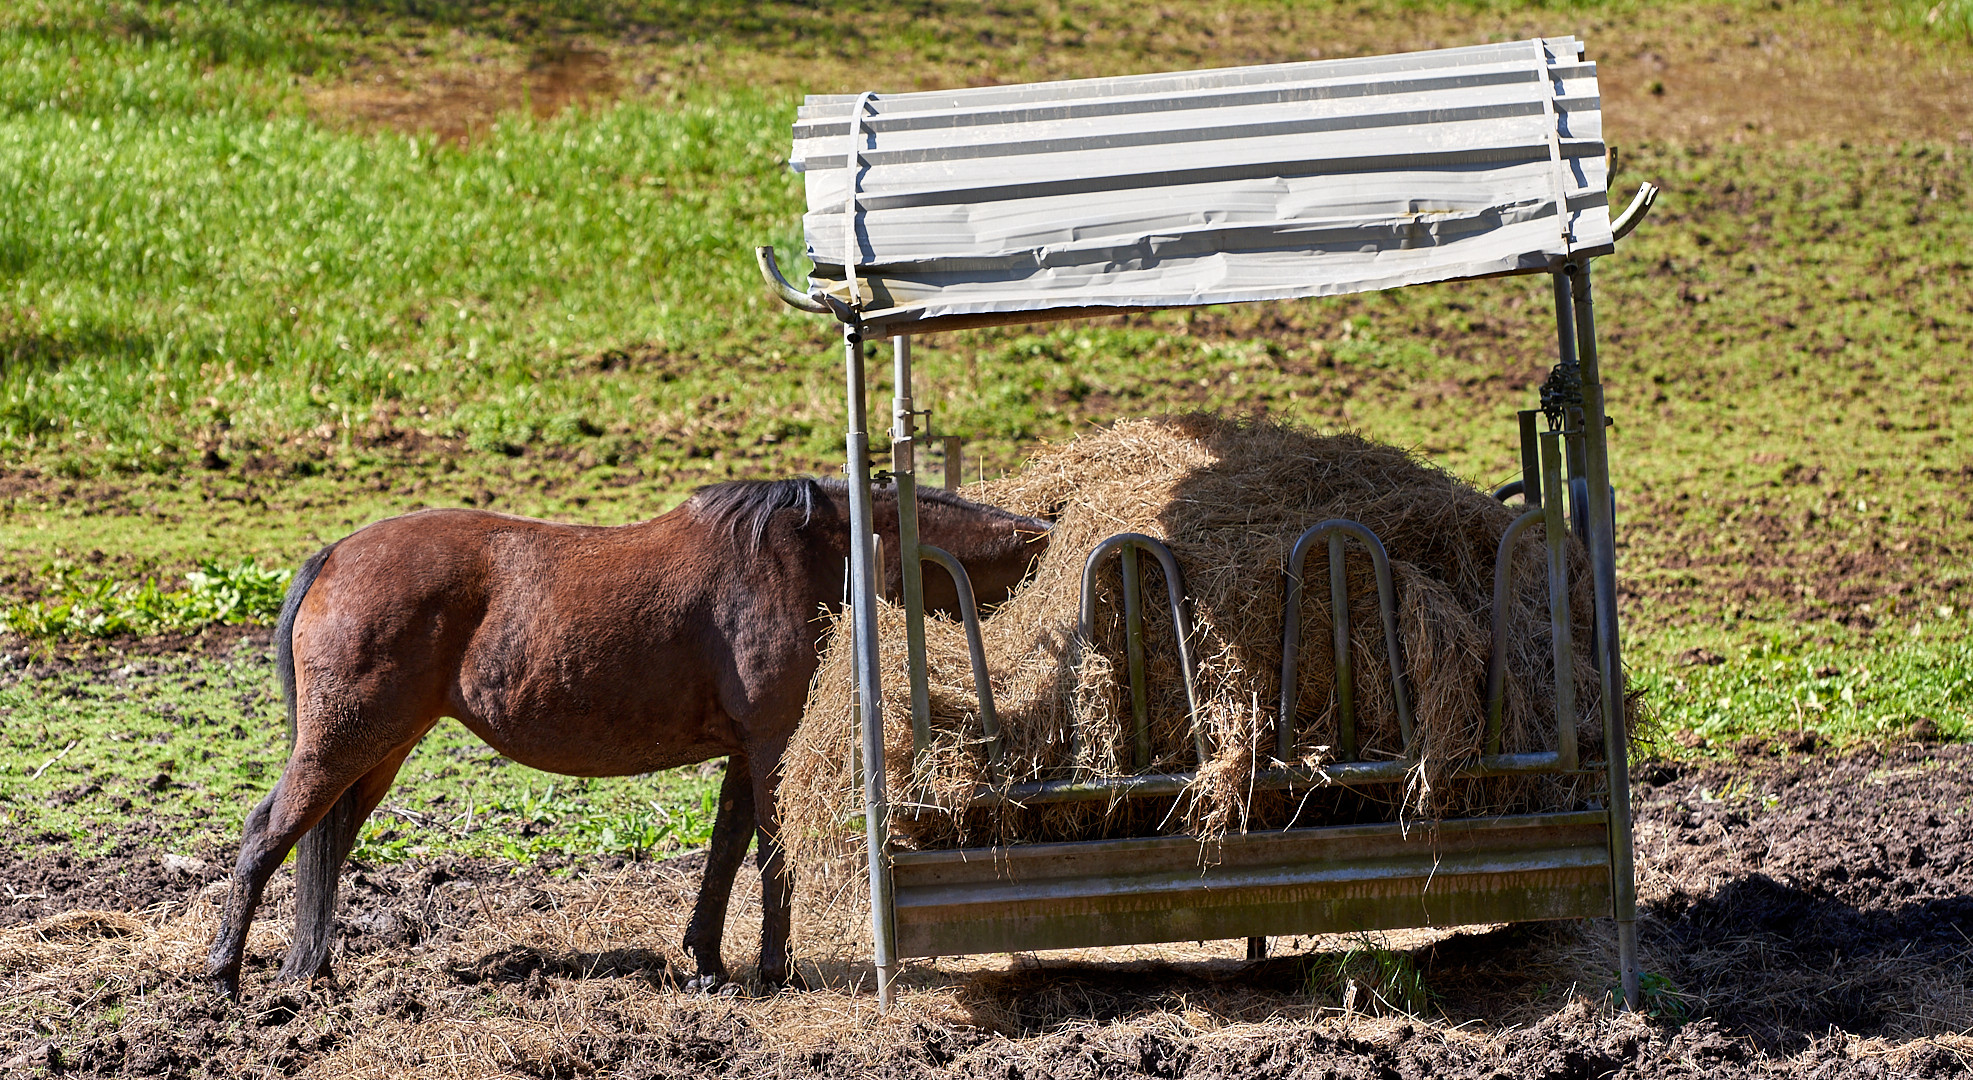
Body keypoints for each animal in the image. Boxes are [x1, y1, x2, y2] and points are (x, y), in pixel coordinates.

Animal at [204, 477, 1049, 1002]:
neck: (814, 554)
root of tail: (334, 557)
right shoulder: (771, 742)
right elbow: (772, 858)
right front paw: (774, 970)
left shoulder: (742, 751)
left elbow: (724, 852)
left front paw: (708, 964)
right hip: (343, 742)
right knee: (266, 833)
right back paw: (224, 975)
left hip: (380, 748)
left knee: (327, 838)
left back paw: (310, 972)